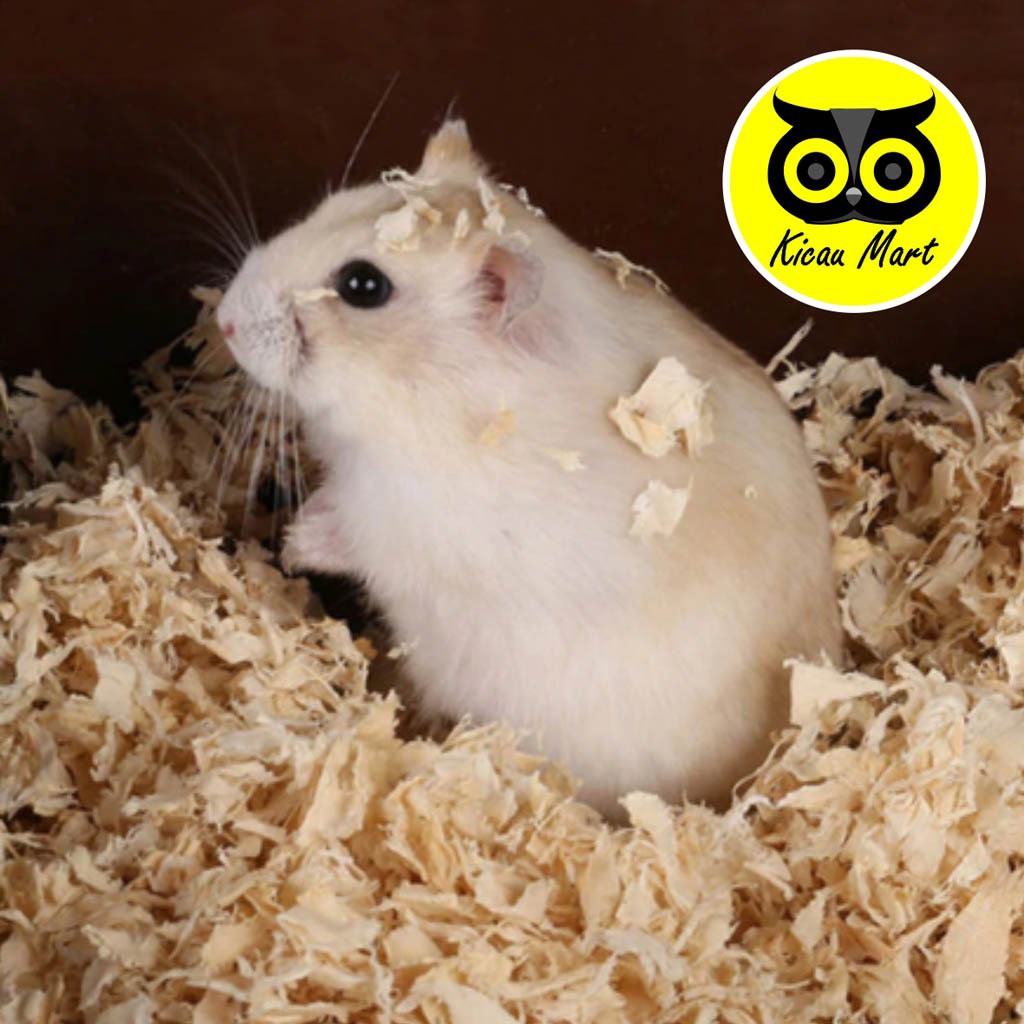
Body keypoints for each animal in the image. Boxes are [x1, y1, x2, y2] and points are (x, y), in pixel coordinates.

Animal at [217, 120, 842, 817]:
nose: (223, 319)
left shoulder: (413, 522)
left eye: (363, 286)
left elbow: (355, 534)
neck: (430, 396)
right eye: (325, 208)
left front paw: (296, 540)